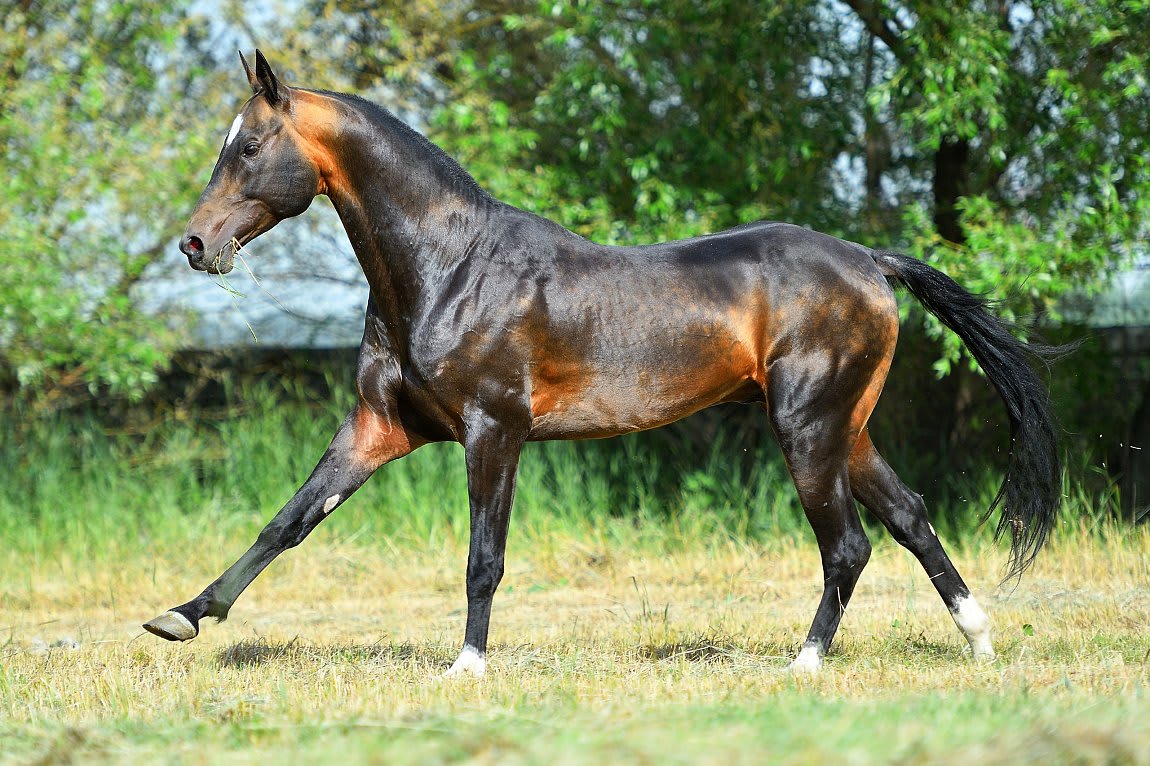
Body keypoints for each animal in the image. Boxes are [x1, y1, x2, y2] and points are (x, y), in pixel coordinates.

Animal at [144, 51, 1063, 675]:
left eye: (250, 147)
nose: (194, 244)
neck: (449, 266)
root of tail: (870, 262)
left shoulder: (495, 430)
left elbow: (483, 555)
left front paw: (467, 665)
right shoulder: (379, 428)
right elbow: (287, 522)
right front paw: (182, 617)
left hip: (807, 427)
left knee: (848, 545)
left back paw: (805, 662)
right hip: (847, 429)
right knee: (909, 518)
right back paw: (979, 640)